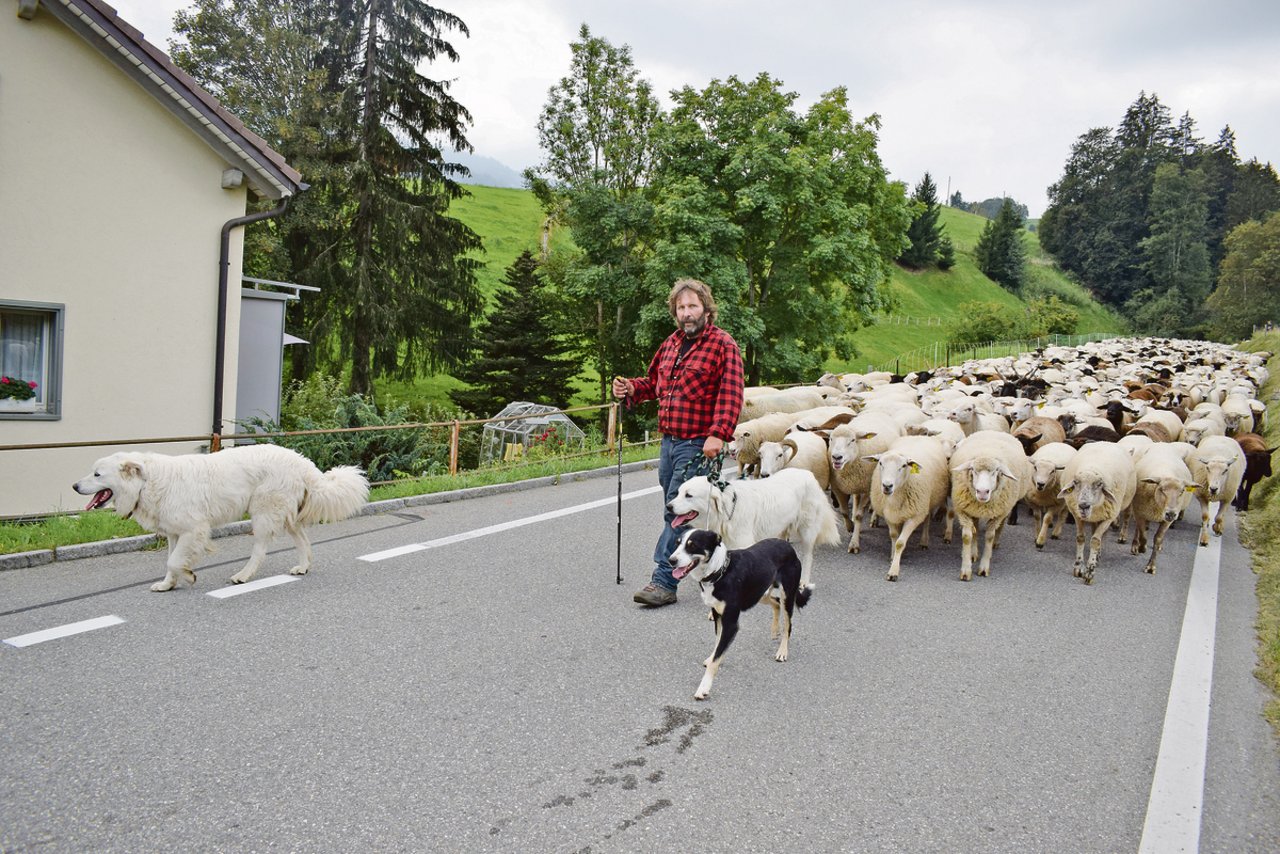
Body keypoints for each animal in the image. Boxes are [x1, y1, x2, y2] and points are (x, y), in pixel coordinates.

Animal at [828, 411, 901, 553]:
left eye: (852, 440)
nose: (836, 457)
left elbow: (859, 516)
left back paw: (874, 519)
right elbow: (844, 511)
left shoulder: (868, 488)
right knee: (856, 497)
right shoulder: (837, 487)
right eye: (831, 439)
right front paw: (850, 526)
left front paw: (854, 543)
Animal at [867, 435, 952, 582]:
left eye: (903, 465)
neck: (895, 497)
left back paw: (924, 541)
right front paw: (893, 555)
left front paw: (893, 571)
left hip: (927, 502)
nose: (887, 486)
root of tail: (919, 435)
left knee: (927, 519)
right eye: (880, 463)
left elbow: (900, 542)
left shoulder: (914, 516)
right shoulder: (889, 514)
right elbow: (894, 536)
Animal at [949, 431, 1031, 581]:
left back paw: (995, 543)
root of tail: (995, 431)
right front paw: (966, 569)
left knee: (1001, 525)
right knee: (975, 527)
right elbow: (967, 536)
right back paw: (973, 552)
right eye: (973, 469)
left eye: (996, 471)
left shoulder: (998, 514)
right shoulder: (964, 510)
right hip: (973, 508)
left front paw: (983, 567)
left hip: (1006, 507)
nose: (982, 492)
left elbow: (989, 536)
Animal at [1057, 442, 1138, 584]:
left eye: (1099, 484)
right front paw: (1078, 567)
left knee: (1102, 535)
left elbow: (1095, 540)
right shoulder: (1077, 515)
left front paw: (1090, 571)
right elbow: (1080, 538)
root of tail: (1107, 442)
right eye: (1076, 482)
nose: (1083, 505)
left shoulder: (1109, 517)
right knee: (1095, 530)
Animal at [1128, 446, 1198, 575]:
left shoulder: (1166, 521)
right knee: (1139, 530)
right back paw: (1136, 545)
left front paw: (1151, 566)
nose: (1171, 513)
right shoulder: (1140, 513)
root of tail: (1163, 444)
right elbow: (1143, 534)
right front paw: (1142, 547)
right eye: (1161, 489)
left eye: (1182, 491)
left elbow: (1157, 539)